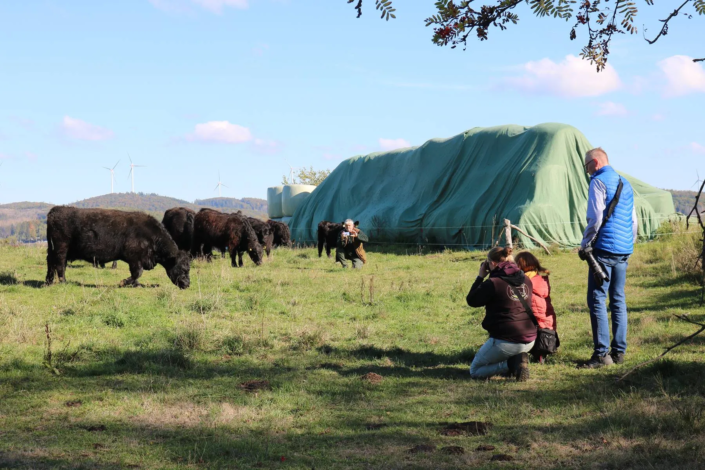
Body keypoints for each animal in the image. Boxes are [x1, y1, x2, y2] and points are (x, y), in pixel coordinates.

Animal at [45, 207, 191, 288]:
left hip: (53, 250)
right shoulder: (135, 259)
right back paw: (63, 282)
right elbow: (137, 273)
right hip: (61, 249)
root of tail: (55, 210)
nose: (188, 284)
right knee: (60, 265)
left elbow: (137, 275)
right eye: (184, 269)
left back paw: (48, 282)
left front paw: (136, 284)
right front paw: (124, 282)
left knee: (51, 264)